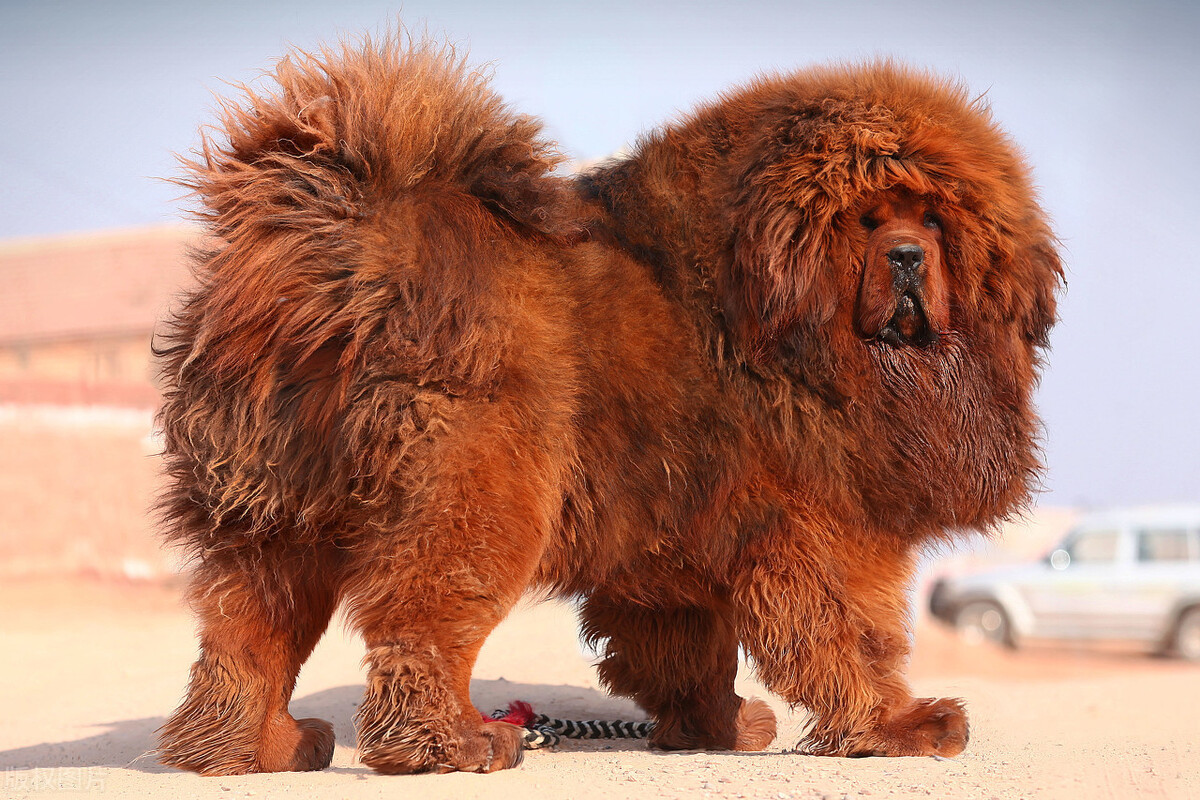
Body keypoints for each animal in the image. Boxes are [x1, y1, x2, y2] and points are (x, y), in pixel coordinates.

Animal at [157, 35, 1060, 777]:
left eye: (934, 220)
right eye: (870, 220)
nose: (907, 257)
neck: (785, 312)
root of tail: (349, 238)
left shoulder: (679, 542)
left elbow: (692, 651)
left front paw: (718, 728)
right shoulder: (828, 528)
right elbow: (859, 635)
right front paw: (901, 726)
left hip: (273, 511)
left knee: (245, 636)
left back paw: (250, 750)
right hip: (479, 500)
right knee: (422, 628)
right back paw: (455, 744)